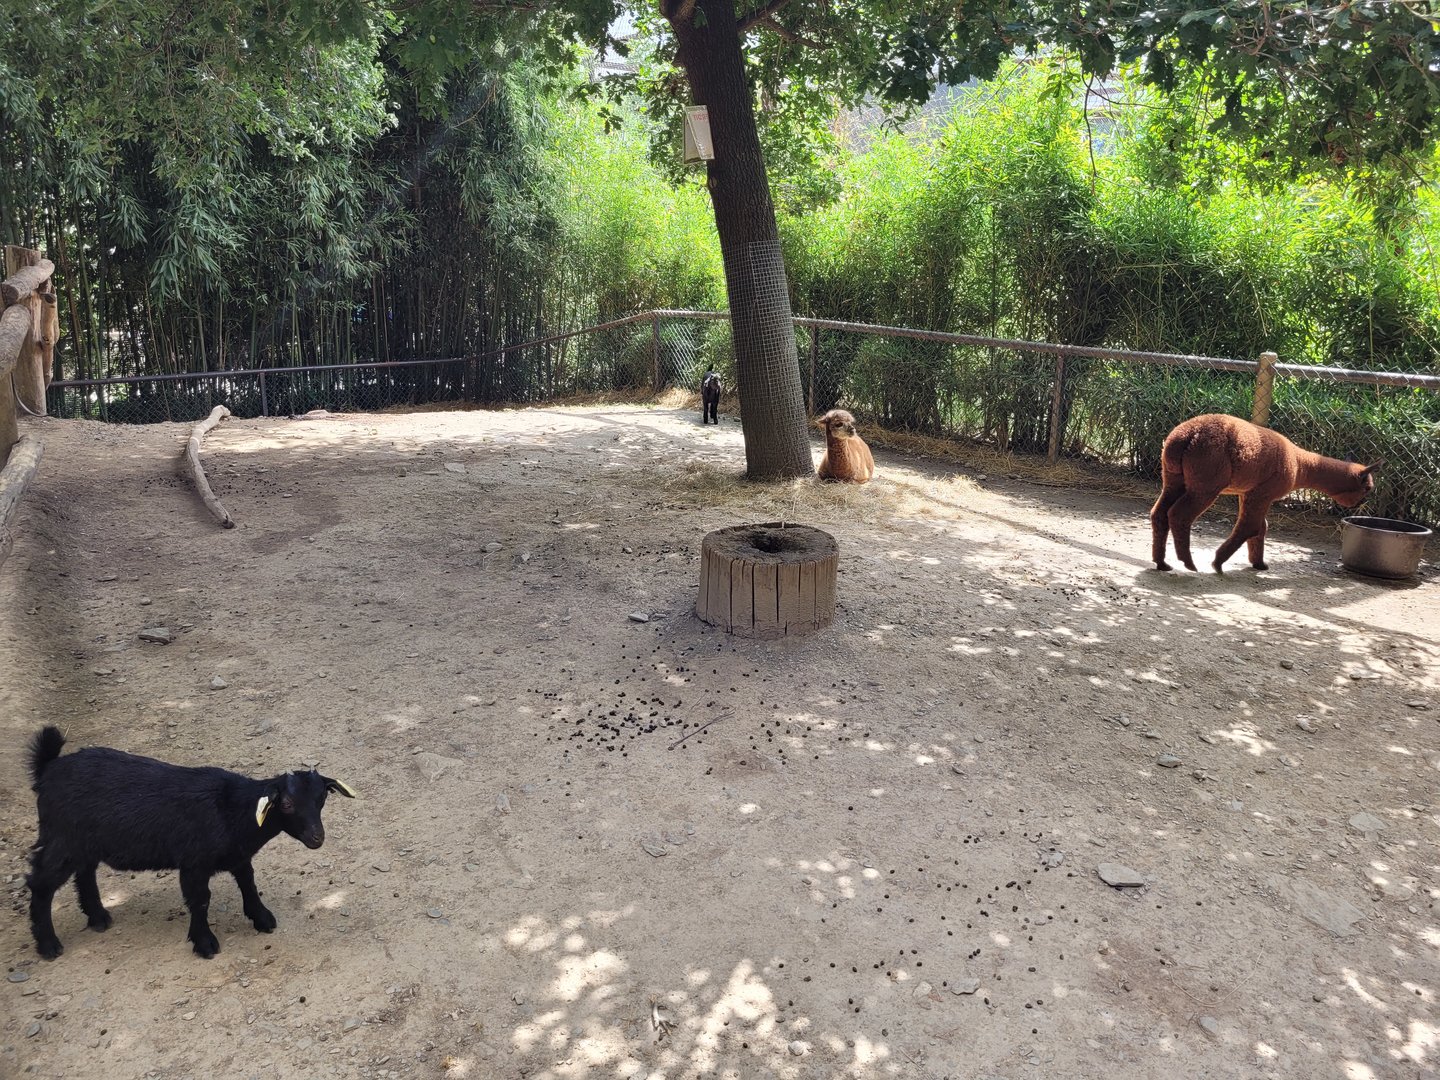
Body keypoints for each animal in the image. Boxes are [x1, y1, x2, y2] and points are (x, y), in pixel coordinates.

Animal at [25, 726, 356, 960]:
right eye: (286, 804)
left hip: (84, 841)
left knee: (85, 873)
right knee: (41, 884)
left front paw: (261, 918)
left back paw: (98, 917)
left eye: (322, 798)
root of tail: (48, 769)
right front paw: (205, 942)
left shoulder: (237, 855)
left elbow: (248, 883)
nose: (317, 837)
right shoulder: (193, 862)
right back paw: (48, 944)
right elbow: (200, 900)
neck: (233, 810)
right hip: (62, 838)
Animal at [1150, 414, 1378, 572]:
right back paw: (1188, 563)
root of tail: (1184, 437)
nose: (1359, 505)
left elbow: (1261, 527)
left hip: (1174, 477)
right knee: (1178, 514)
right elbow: (1250, 526)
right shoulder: (1263, 492)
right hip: (1206, 478)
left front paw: (1259, 563)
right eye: (1367, 488)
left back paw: (1162, 563)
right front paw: (1218, 563)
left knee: (1159, 513)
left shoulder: (1248, 492)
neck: (1299, 465)